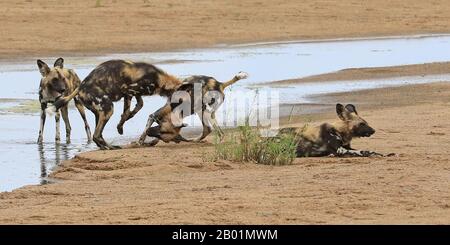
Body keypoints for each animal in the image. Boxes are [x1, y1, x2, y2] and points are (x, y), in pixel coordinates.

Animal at [53, 60, 184, 150]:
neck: (159, 79)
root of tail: (80, 87)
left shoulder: (135, 94)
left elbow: (138, 106)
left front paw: (125, 121)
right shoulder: (129, 92)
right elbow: (128, 111)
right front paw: (120, 127)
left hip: (100, 112)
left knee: (98, 135)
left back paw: (105, 147)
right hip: (108, 108)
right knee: (96, 135)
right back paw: (109, 148)